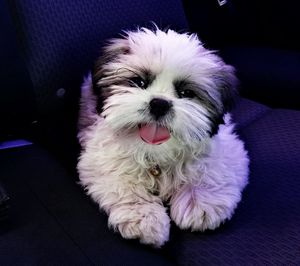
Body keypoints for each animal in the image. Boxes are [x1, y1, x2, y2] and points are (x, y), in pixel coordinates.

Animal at [77, 27, 248, 247]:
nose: (159, 103)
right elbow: (124, 184)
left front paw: (199, 201)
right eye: (139, 82)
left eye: (186, 92)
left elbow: (213, 171)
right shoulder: (101, 159)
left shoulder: (228, 149)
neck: (158, 152)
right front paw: (144, 217)